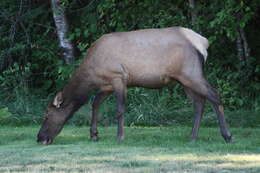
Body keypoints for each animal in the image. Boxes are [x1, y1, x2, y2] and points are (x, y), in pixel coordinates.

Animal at [36, 26, 232, 145]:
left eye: (47, 114)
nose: (39, 138)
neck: (91, 75)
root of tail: (204, 43)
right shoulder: (106, 86)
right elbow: (95, 104)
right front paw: (94, 135)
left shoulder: (118, 77)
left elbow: (120, 110)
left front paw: (119, 136)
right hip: (183, 79)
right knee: (199, 102)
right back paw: (192, 137)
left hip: (191, 73)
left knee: (215, 96)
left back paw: (227, 135)